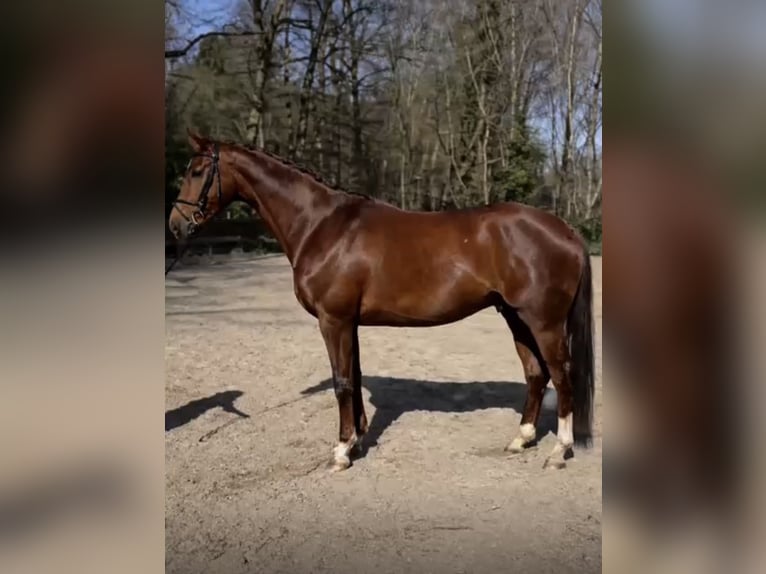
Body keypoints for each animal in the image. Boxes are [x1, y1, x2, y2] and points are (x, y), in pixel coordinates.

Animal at [168, 131, 595, 472]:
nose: (175, 225)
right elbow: (354, 377)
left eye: (195, 172)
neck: (322, 226)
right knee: (536, 373)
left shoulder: (333, 320)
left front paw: (341, 451)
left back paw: (558, 451)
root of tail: (566, 230)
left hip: (544, 322)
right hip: (515, 317)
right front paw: (357, 440)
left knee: (561, 375)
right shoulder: (349, 323)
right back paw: (521, 439)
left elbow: (341, 381)